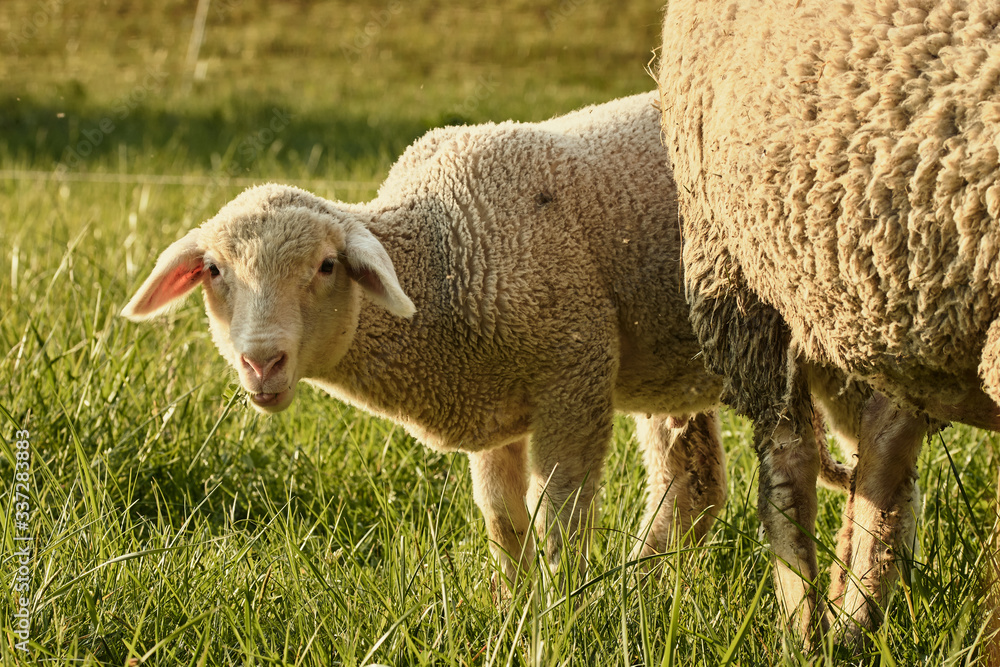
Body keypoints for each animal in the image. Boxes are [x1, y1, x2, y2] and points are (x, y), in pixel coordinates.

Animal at [121, 92, 852, 593]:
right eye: (214, 271)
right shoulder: (492, 407)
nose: (261, 359)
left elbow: (560, 515)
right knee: (693, 484)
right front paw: (516, 605)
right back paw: (643, 589)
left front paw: (564, 608)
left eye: (326, 266)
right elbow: (502, 519)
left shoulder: (575, 374)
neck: (440, 256)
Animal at [658, 0, 1000, 643]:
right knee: (789, 464)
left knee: (884, 455)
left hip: (893, 291)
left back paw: (855, 619)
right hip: (739, 274)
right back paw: (808, 628)